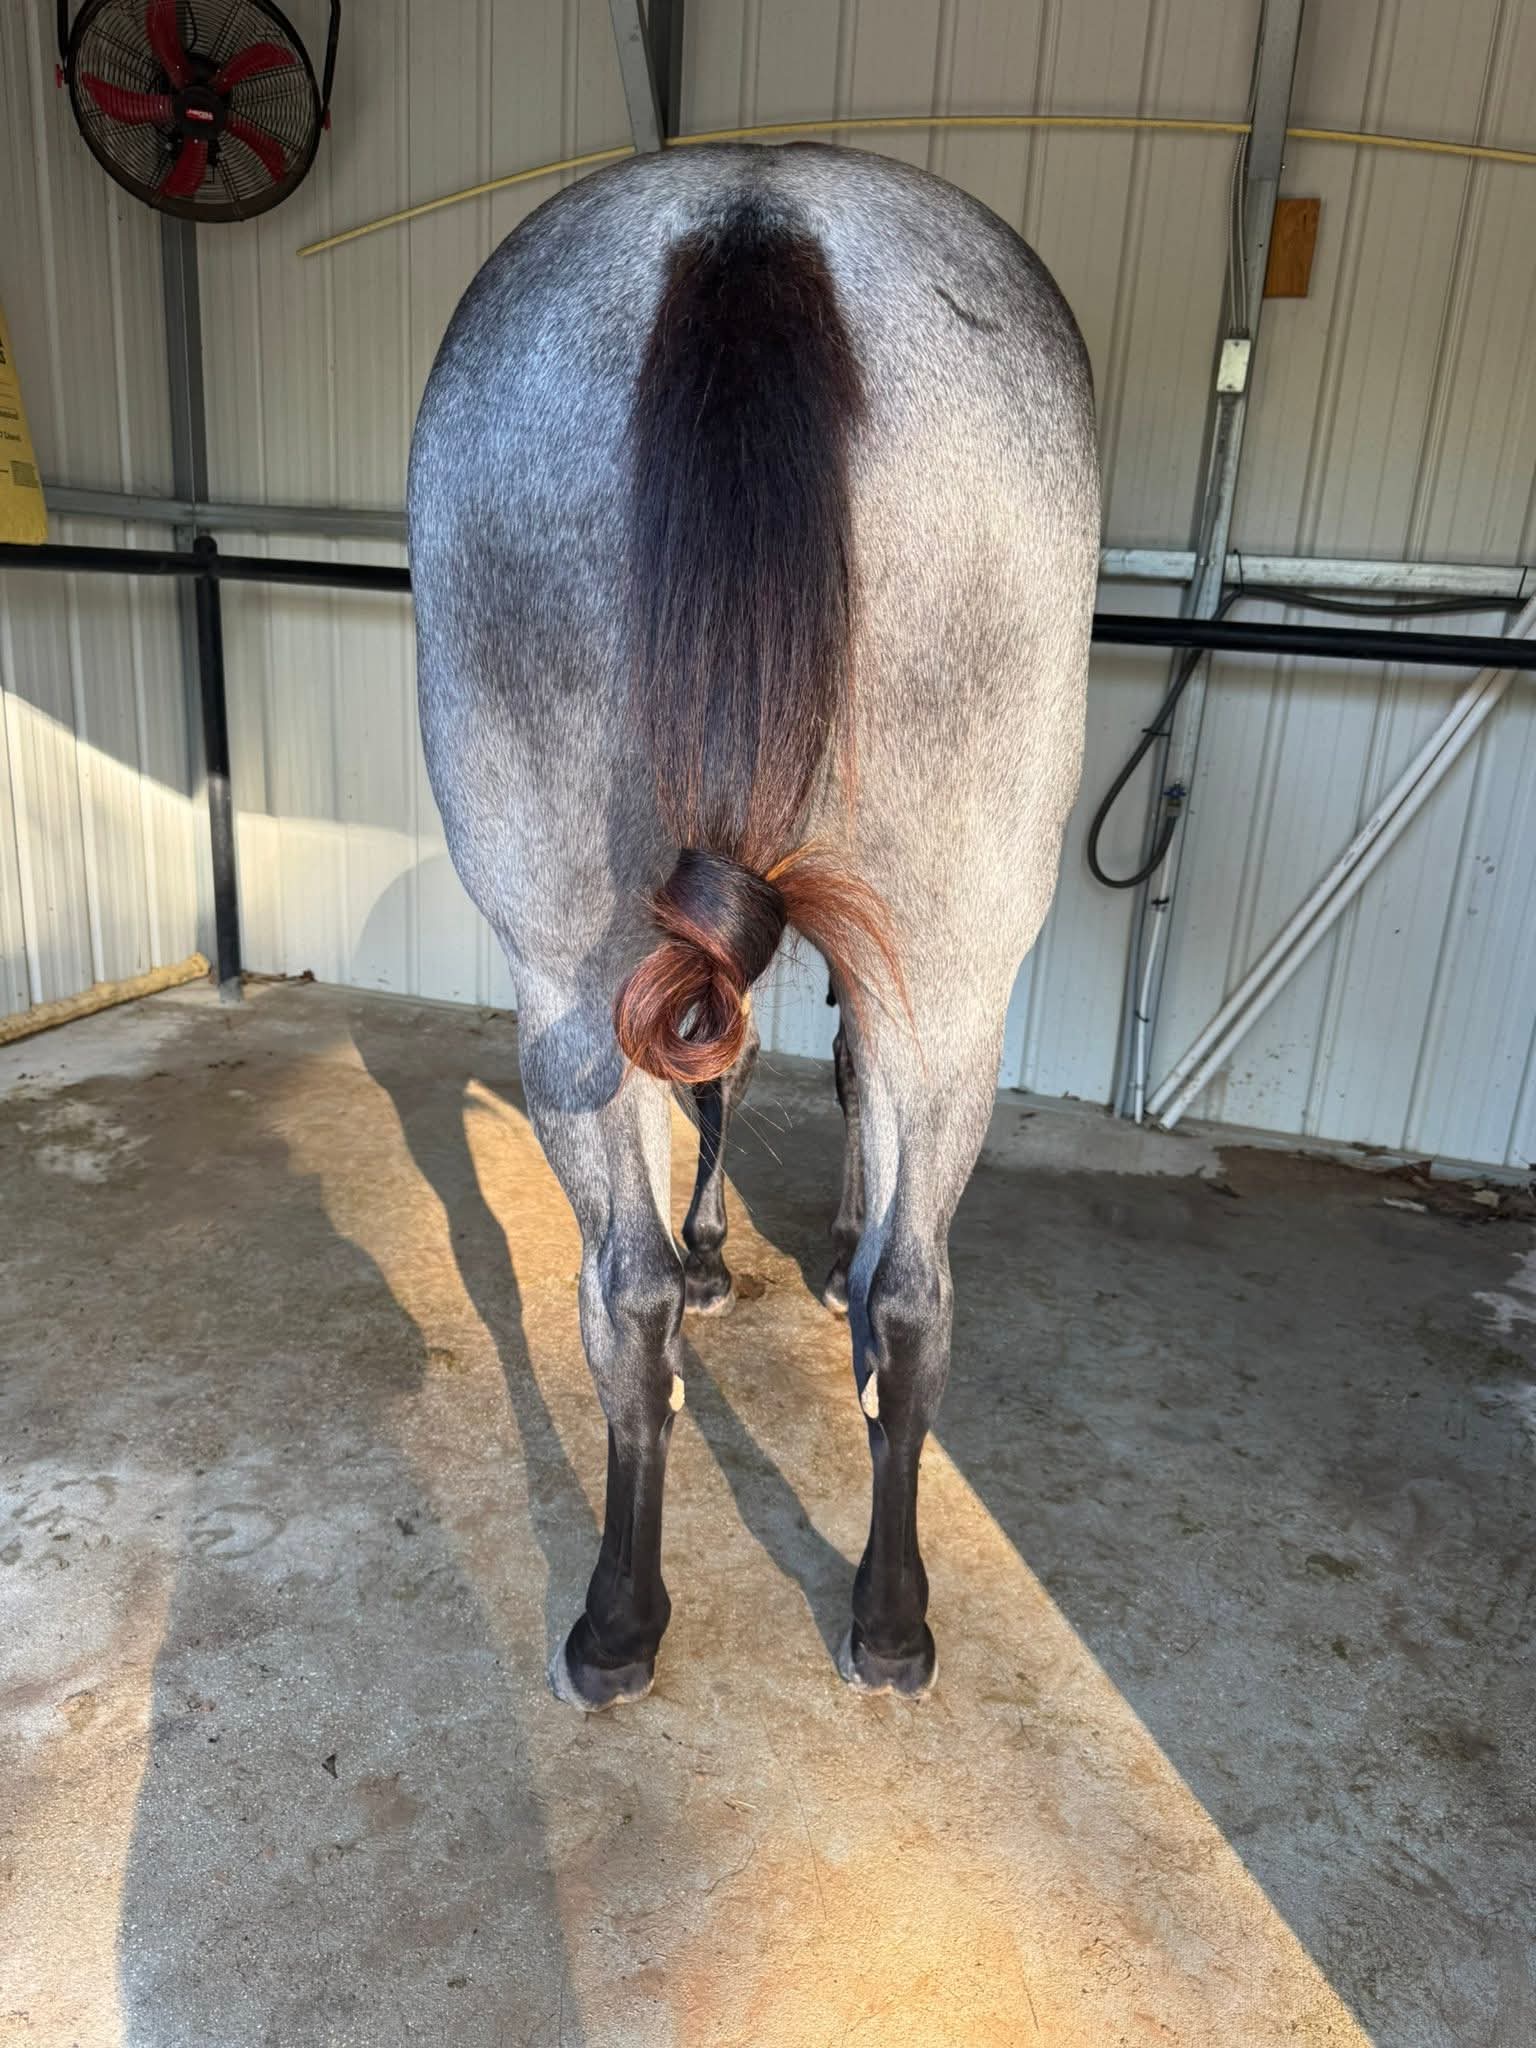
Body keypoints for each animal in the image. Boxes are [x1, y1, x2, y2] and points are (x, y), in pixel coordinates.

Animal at [407, 141, 1098, 1709]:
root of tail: (753, 213)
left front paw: (741, 1253)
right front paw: (807, 1244)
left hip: (573, 977)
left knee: (637, 1293)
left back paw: (631, 1620)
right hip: (949, 975)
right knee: (901, 1292)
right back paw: (871, 1617)